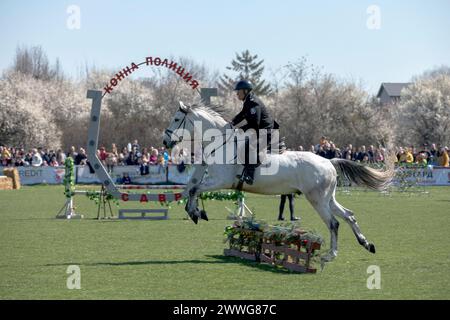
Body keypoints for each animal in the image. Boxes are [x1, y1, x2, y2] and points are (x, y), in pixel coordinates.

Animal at [163, 100, 394, 262]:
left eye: (175, 119)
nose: (165, 141)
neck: (221, 144)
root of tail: (328, 161)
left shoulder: (221, 181)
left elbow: (195, 189)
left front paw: (195, 213)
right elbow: (192, 188)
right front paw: (196, 212)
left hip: (317, 199)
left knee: (334, 223)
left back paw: (331, 255)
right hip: (328, 198)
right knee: (348, 216)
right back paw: (366, 244)